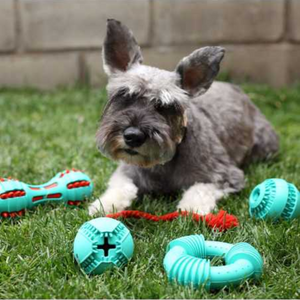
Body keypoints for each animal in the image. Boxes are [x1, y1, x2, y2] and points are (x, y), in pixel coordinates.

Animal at [88, 18, 280, 216]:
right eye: (124, 95)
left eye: (165, 106)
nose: (133, 136)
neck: (162, 165)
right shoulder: (127, 171)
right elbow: (121, 186)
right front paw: (105, 204)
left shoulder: (223, 174)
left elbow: (201, 189)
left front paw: (192, 208)